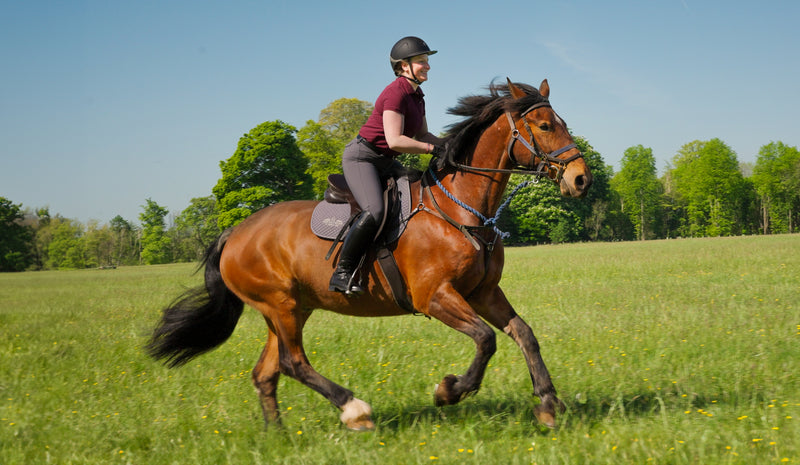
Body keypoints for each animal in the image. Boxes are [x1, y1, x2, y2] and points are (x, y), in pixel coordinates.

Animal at [147, 78, 593, 431]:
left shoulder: (483, 292)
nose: (580, 179)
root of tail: (234, 233)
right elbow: (485, 339)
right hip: (280, 305)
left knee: (267, 373)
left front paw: (548, 404)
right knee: (293, 363)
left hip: (289, 309)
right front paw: (449, 390)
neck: (460, 209)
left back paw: (278, 434)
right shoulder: (434, 296)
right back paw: (355, 410)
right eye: (544, 126)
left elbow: (524, 334)